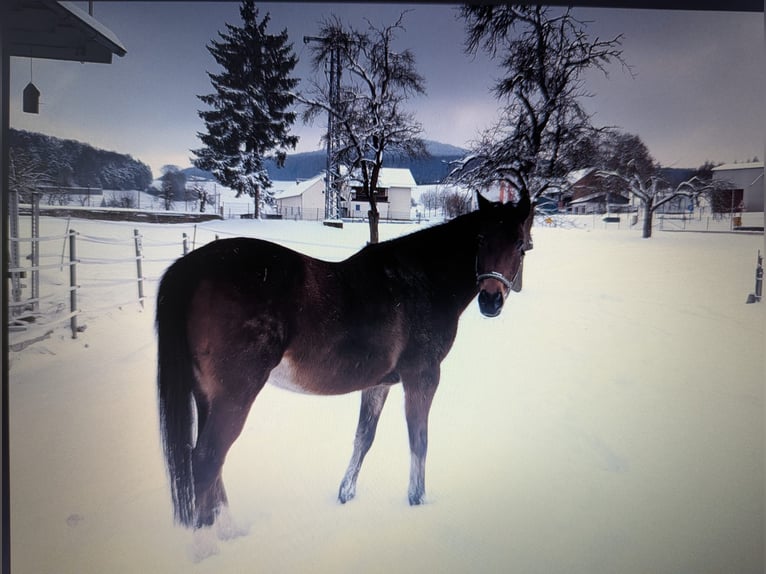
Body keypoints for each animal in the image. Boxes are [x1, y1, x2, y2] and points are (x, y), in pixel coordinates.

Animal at [156, 195, 528, 536]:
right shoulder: (422, 376)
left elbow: (364, 437)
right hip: (235, 395)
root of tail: (192, 267)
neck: (423, 281)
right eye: (481, 240)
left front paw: (346, 493)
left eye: (520, 245)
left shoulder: (378, 383)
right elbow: (418, 439)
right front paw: (417, 499)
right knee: (207, 461)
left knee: (208, 463)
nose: (491, 300)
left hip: (207, 396)